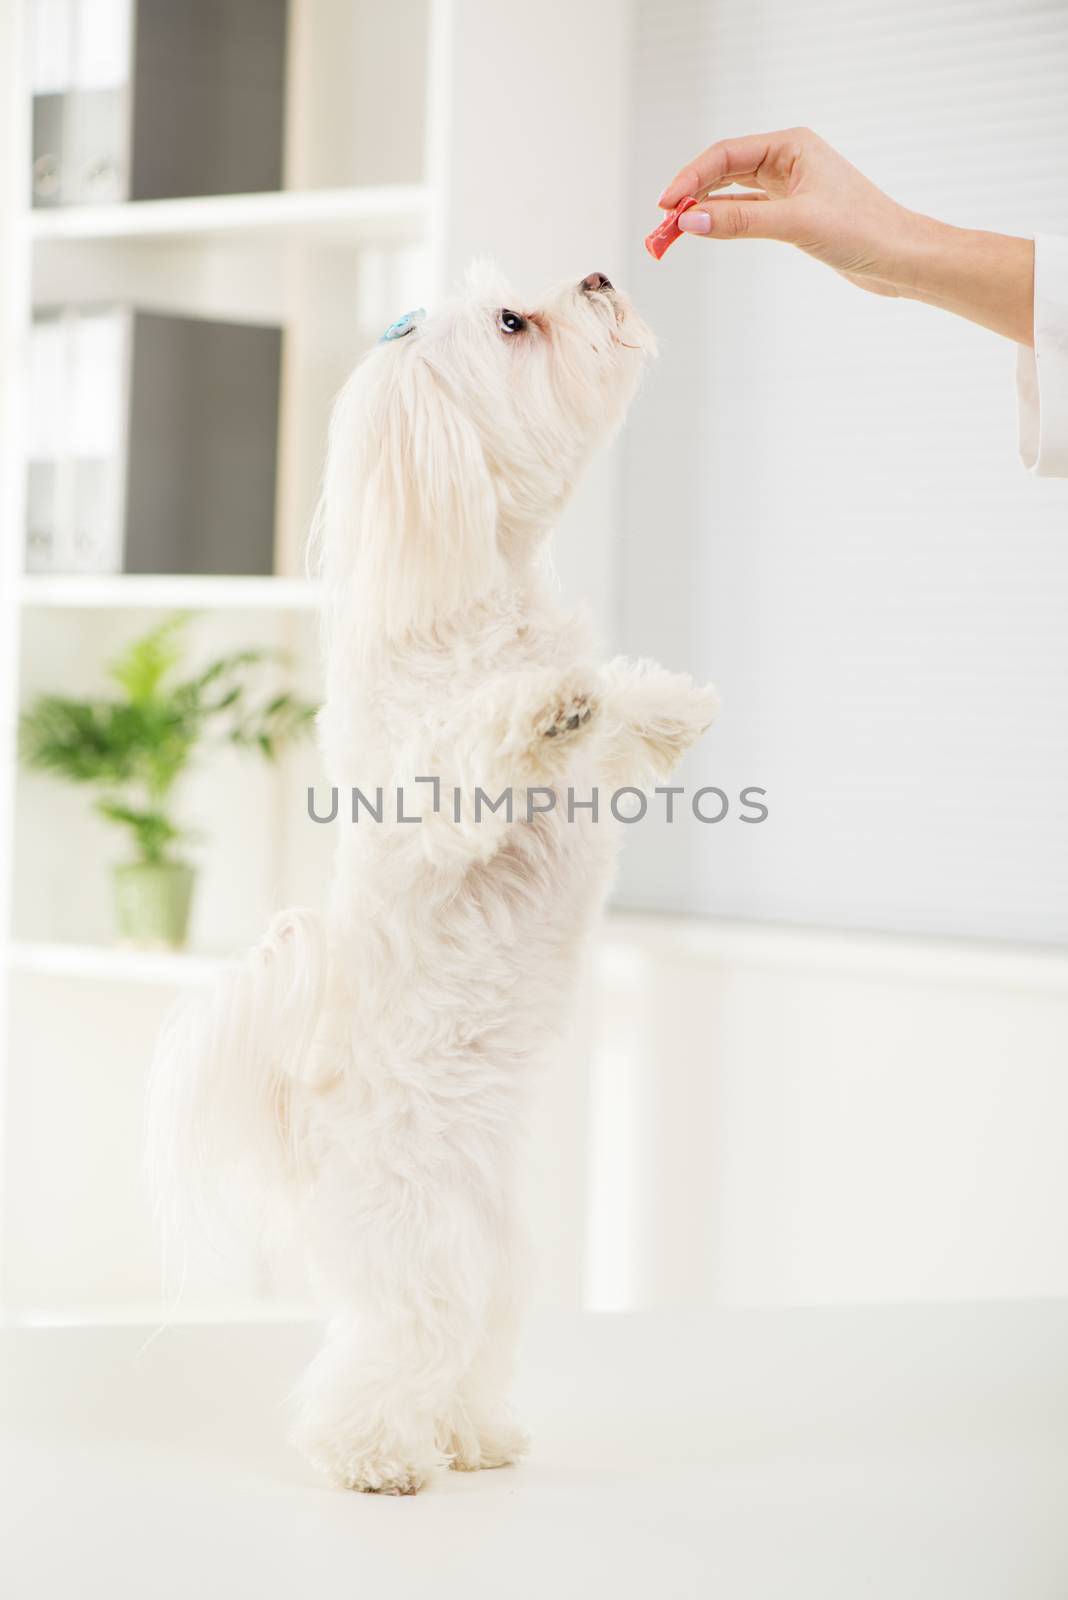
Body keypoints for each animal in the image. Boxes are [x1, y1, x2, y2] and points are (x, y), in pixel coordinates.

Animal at [146, 256, 716, 1491]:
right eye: (511, 321)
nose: (598, 273)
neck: (474, 596)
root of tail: (307, 1127)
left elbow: (615, 722)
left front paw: (661, 705)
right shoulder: (431, 789)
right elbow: (483, 743)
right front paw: (540, 705)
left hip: (501, 1252)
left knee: (470, 1347)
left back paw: (475, 1437)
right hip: (409, 1239)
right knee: (389, 1347)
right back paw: (376, 1458)